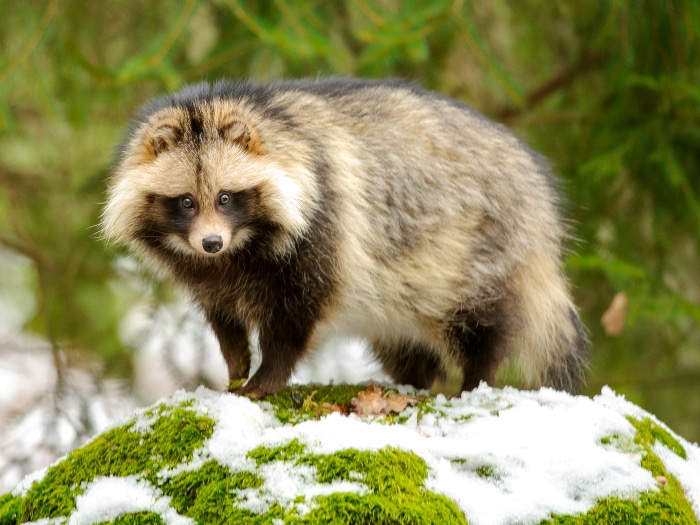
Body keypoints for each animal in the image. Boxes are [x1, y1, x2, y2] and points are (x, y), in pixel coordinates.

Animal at [101, 78, 588, 398]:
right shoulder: (206, 272)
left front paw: (267, 376)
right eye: (186, 202)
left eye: (225, 197)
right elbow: (223, 316)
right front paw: (236, 362)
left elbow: (296, 315)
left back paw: (475, 379)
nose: (211, 244)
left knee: (483, 323)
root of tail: (538, 192)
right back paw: (413, 381)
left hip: (478, 248)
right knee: (407, 345)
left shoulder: (324, 224)